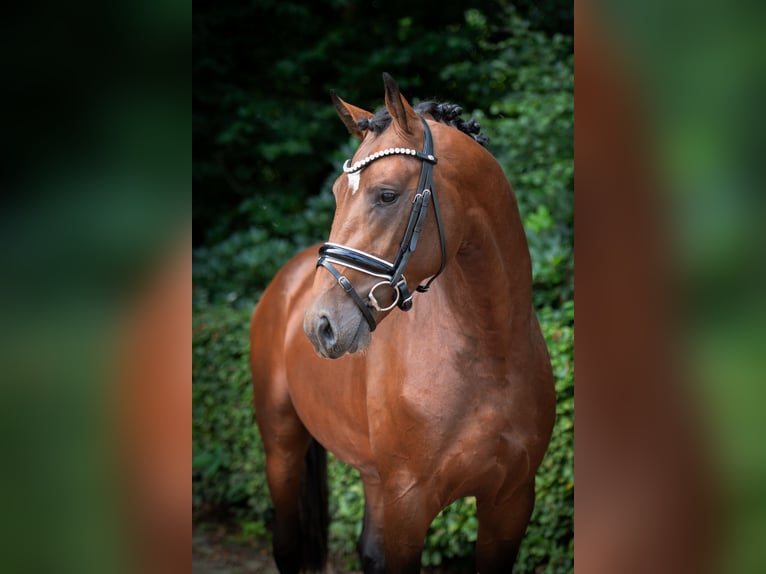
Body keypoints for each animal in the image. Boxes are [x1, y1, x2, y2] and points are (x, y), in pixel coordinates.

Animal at [252, 74, 560, 572]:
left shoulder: (510, 505)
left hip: (373, 476)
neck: (491, 351)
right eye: (336, 194)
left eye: (386, 195)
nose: (320, 325)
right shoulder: (408, 506)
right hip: (281, 449)